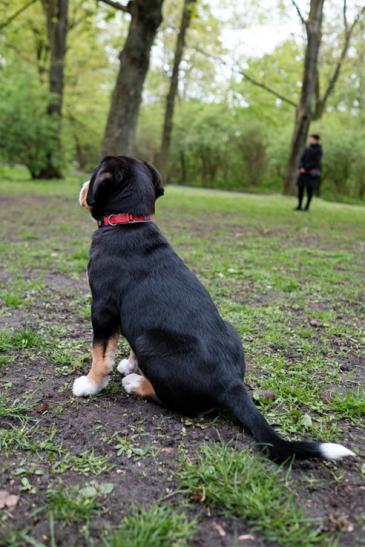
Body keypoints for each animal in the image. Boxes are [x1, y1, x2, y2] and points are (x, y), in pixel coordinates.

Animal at [72, 156, 354, 464]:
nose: (82, 186)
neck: (129, 222)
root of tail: (230, 383)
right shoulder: (129, 315)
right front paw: (127, 364)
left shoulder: (102, 306)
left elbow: (99, 353)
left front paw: (90, 384)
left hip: (150, 342)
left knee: (174, 402)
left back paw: (136, 383)